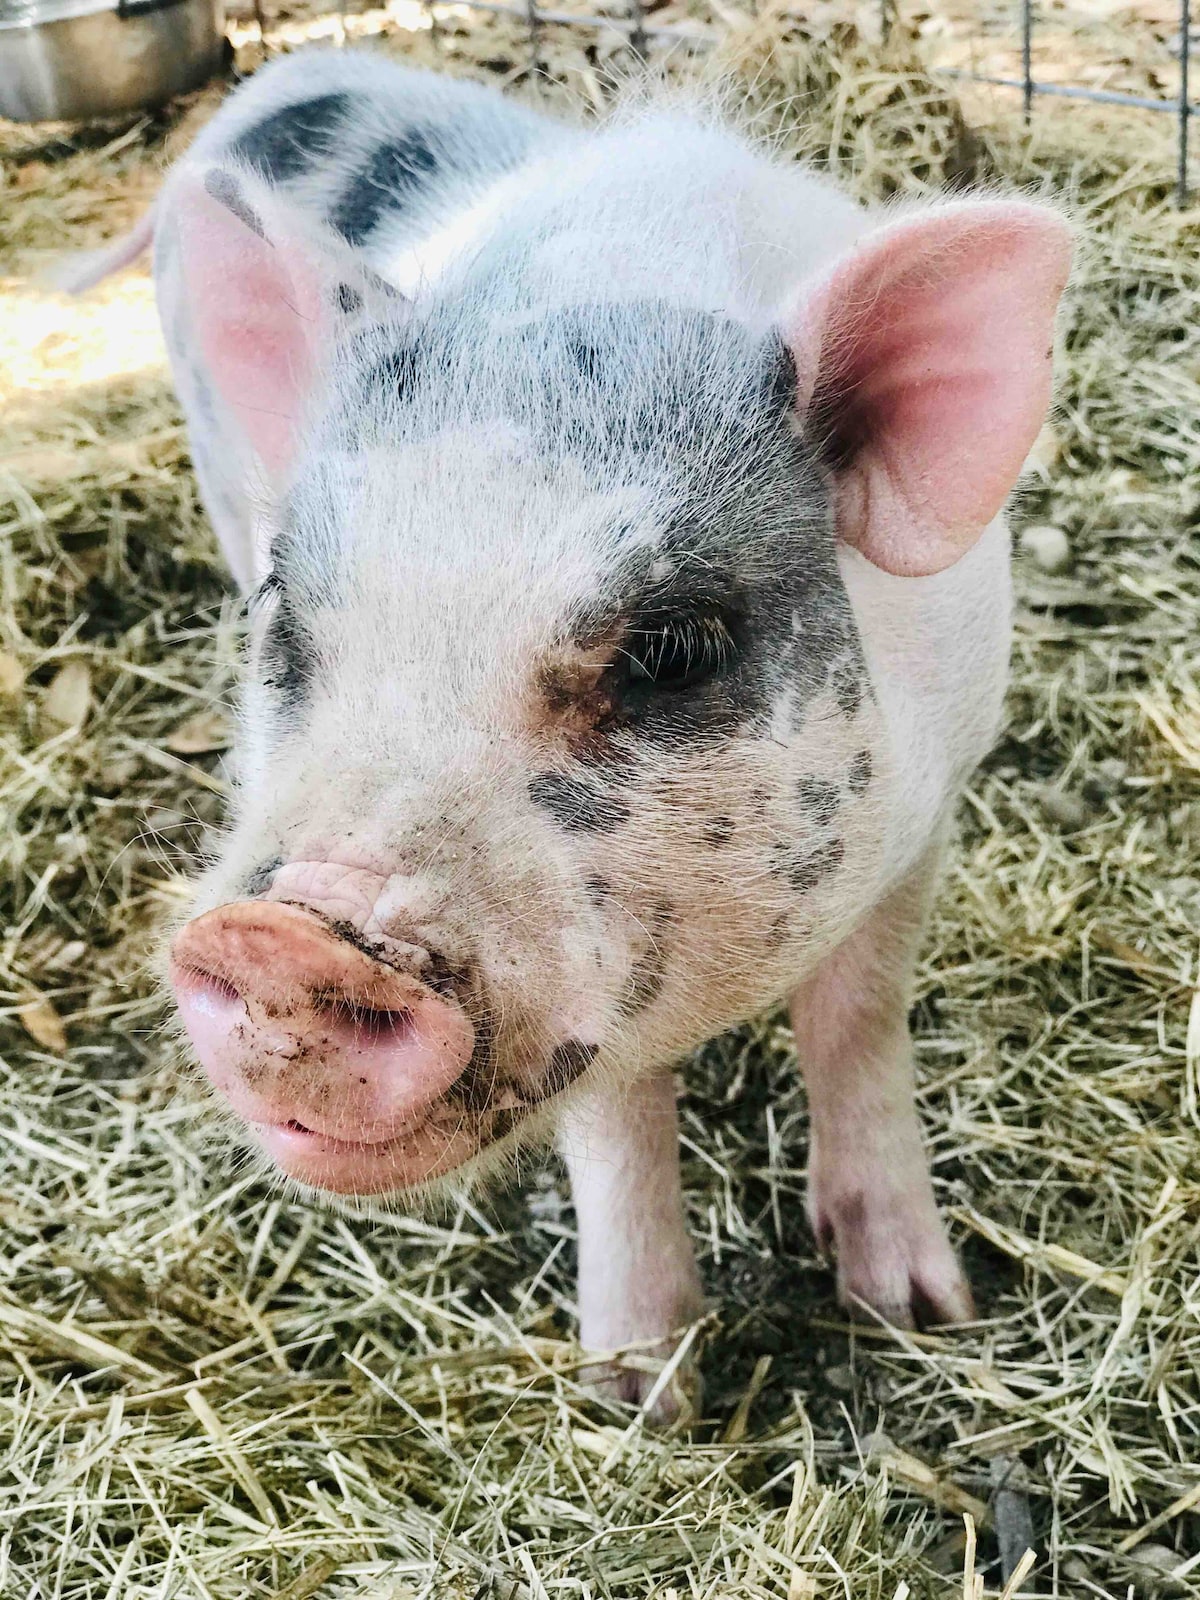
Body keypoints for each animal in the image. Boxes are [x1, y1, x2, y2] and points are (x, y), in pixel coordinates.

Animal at [84, 48, 1071, 1415]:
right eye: (287, 615)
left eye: (673, 649)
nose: (290, 937)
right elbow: (618, 1119)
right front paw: (640, 1398)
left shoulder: (933, 806)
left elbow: (860, 1021)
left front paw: (922, 1312)